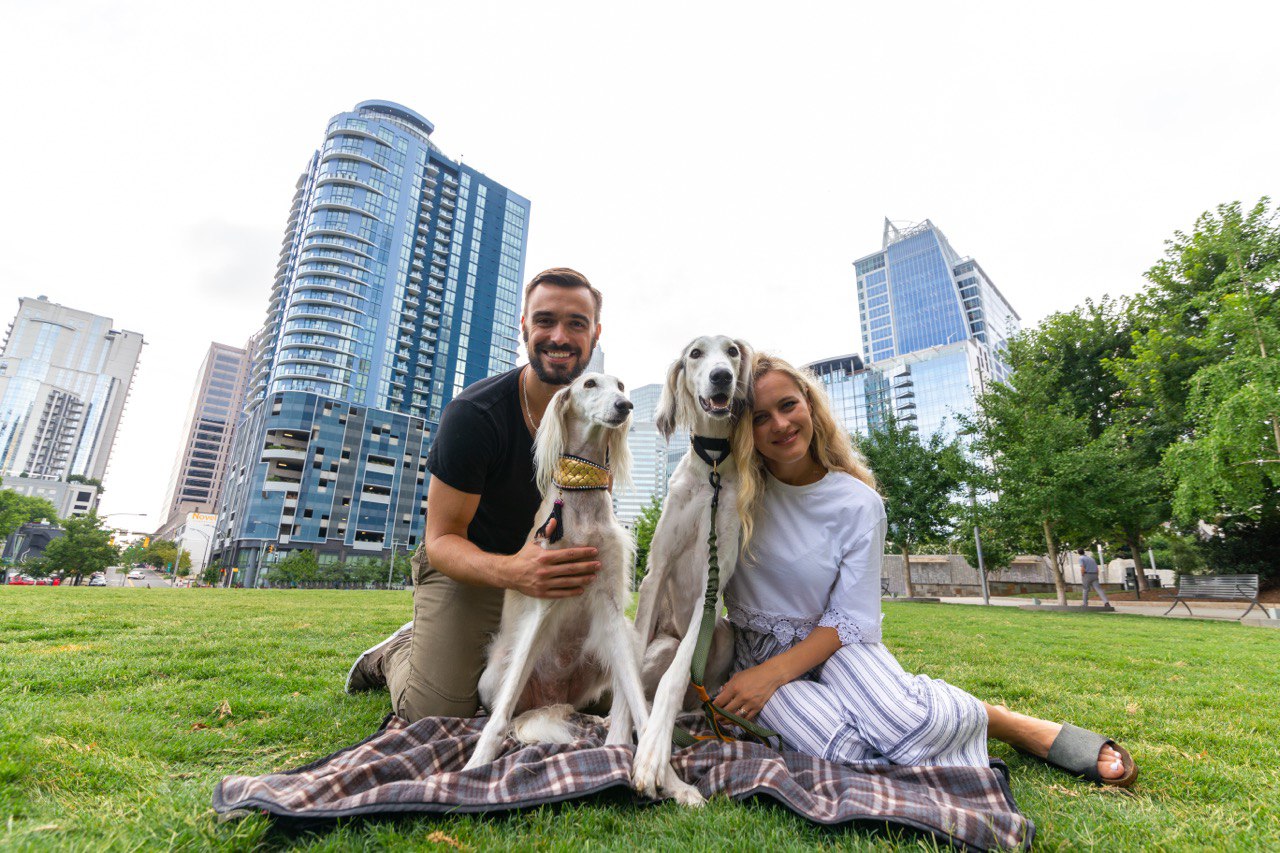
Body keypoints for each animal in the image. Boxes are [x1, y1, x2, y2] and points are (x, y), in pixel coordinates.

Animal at [465, 371, 655, 768]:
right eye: (589, 384)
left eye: (621, 386)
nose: (624, 406)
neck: (581, 502)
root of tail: (551, 698)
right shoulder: (544, 597)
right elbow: (498, 718)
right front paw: (477, 763)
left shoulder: (611, 607)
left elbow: (638, 703)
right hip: (494, 675)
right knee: (506, 704)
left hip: (612, 648)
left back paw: (612, 729)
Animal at [632, 333, 752, 804]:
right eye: (695, 354)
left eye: (733, 350)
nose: (722, 376)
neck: (712, 467)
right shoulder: (655, 572)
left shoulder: (710, 591)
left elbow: (676, 677)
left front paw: (654, 757)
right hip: (662, 644)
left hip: (721, 632)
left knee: (691, 694)